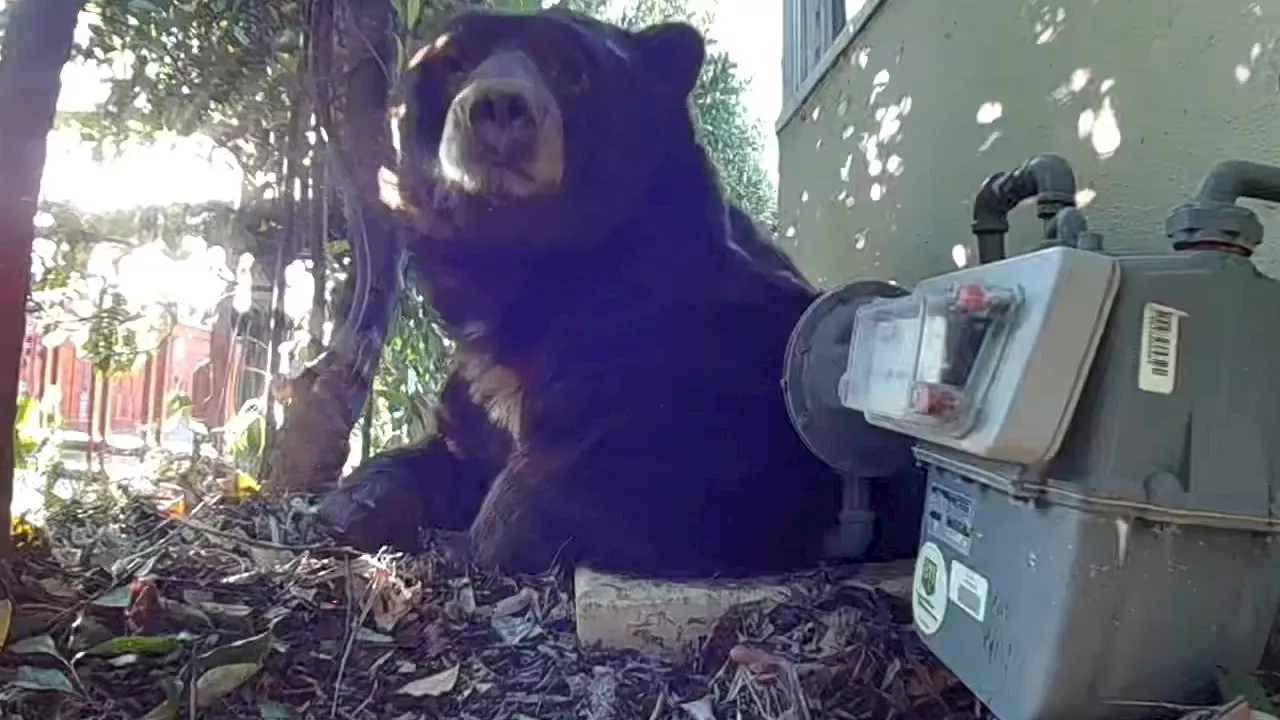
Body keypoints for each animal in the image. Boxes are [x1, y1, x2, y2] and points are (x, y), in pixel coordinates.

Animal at [318, 8, 921, 573]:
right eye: (455, 62)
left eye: (571, 68)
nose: (498, 106)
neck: (531, 272)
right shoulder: (476, 385)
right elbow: (448, 445)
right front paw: (357, 502)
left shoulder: (706, 348)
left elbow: (648, 464)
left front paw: (477, 533)